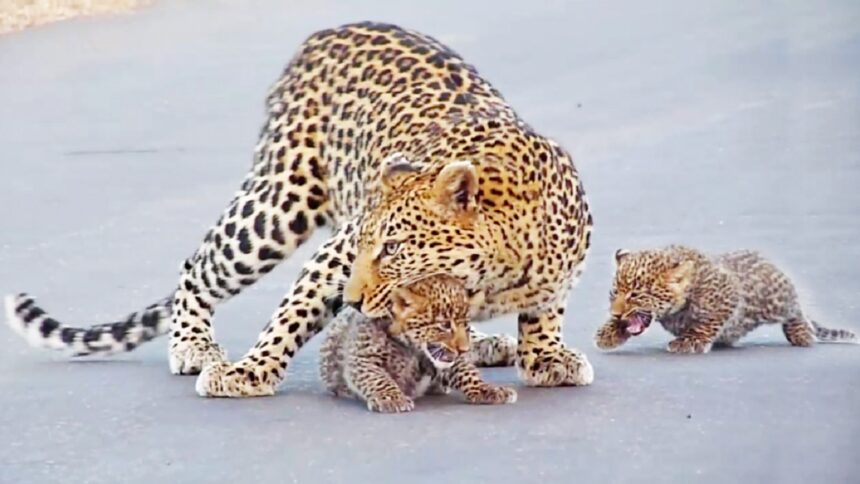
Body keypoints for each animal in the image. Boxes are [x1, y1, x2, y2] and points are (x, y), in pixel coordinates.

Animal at [5, 21, 594, 397]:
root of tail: (332, 31)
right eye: (369, 247)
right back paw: (194, 346)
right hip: (277, 203)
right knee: (198, 264)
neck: (500, 269)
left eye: (394, 249)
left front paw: (547, 357)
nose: (354, 301)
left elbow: (545, 313)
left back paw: (488, 342)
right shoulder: (335, 257)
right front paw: (247, 374)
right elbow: (289, 317)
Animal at [314, 274, 516, 413]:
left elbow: (467, 372)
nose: (464, 349)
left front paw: (487, 390)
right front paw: (391, 399)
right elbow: (378, 379)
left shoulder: (450, 360)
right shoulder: (363, 358)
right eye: (444, 325)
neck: (411, 348)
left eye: (465, 325)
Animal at [594, 245, 858, 353]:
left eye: (636, 295)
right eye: (614, 293)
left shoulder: (730, 293)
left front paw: (689, 341)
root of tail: (767, 260)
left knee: (796, 310)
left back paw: (802, 333)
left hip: (777, 301)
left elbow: (706, 322)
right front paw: (607, 334)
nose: (616, 312)